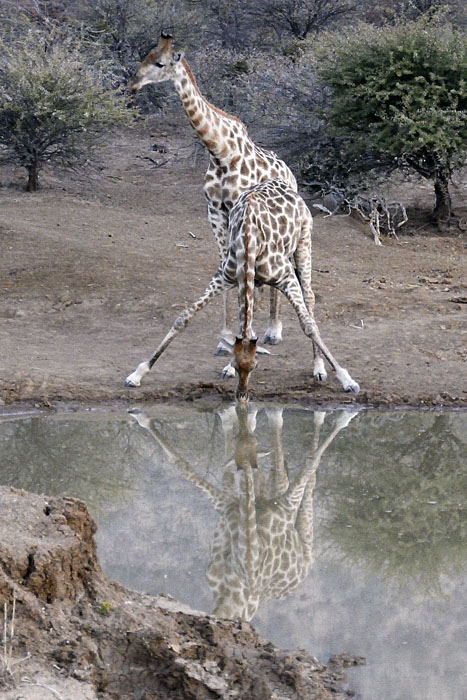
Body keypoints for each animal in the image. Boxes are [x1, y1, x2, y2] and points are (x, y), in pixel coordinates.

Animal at [124, 178, 359, 397]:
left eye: (255, 366)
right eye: (238, 366)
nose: (242, 395)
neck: (249, 242)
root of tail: (282, 182)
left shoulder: (286, 277)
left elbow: (308, 326)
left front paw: (347, 379)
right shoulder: (224, 277)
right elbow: (184, 317)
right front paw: (137, 374)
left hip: (304, 241)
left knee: (309, 295)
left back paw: (319, 368)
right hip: (256, 278)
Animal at [129, 32, 299, 373]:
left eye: (160, 63)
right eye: (145, 56)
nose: (133, 85)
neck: (219, 151)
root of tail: (290, 173)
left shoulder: (236, 212)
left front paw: (240, 349)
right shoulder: (214, 213)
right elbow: (227, 270)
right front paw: (225, 340)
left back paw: (274, 330)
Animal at [130, 405, 358, 621]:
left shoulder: (271, 504)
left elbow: (310, 462)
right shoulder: (230, 503)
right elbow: (189, 467)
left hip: (295, 522)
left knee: (307, 480)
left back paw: (330, 416)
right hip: (272, 493)